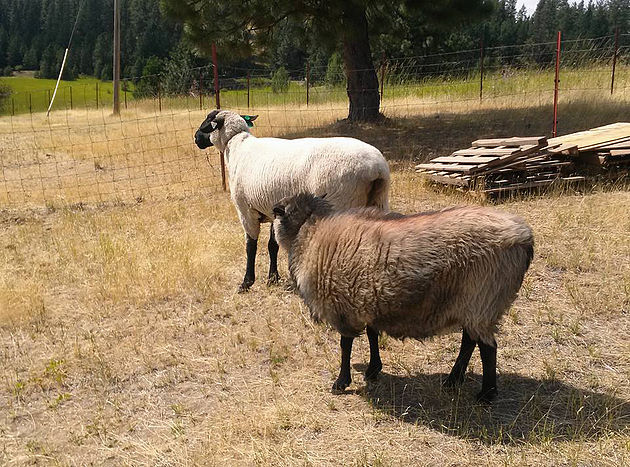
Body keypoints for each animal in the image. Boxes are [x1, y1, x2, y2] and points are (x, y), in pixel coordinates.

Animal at [194, 110, 390, 292]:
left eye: (208, 121)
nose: (195, 138)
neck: (236, 145)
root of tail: (376, 169)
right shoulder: (272, 210)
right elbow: (272, 245)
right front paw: (273, 278)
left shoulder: (245, 210)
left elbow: (251, 246)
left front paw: (246, 283)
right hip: (379, 201)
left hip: (341, 202)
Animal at [272, 193, 534, 402]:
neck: (310, 232)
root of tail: (524, 237)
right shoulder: (367, 298)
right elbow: (372, 334)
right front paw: (373, 369)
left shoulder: (342, 308)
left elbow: (345, 346)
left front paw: (341, 382)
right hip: (473, 305)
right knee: (470, 341)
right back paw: (453, 379)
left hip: (482, 300)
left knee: (488, 348)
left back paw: (486, 394)